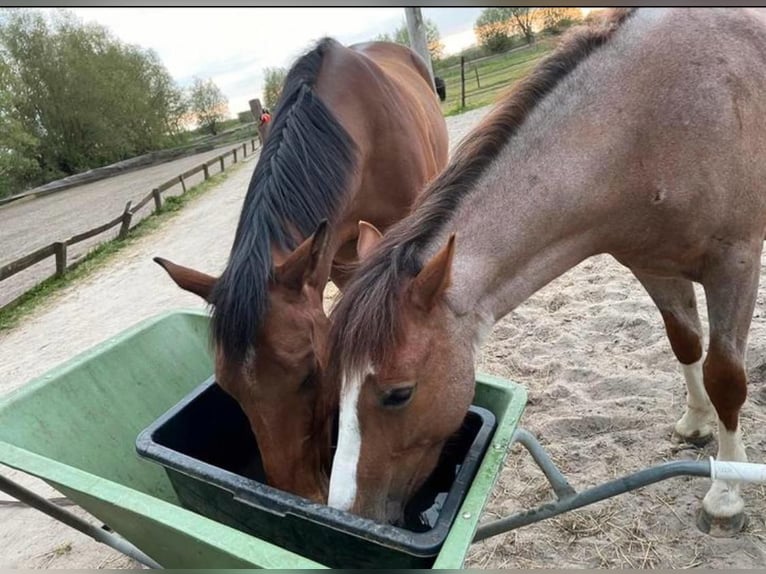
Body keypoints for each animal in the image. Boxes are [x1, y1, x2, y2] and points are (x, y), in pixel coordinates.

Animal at [328, 9, 766, 536]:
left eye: (398, 394)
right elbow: (685, 345)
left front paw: (725, 495)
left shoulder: (734, 268)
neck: (649, 127)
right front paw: (696, 423)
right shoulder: (654, 268)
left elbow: (726, 380)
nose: (344, 512)